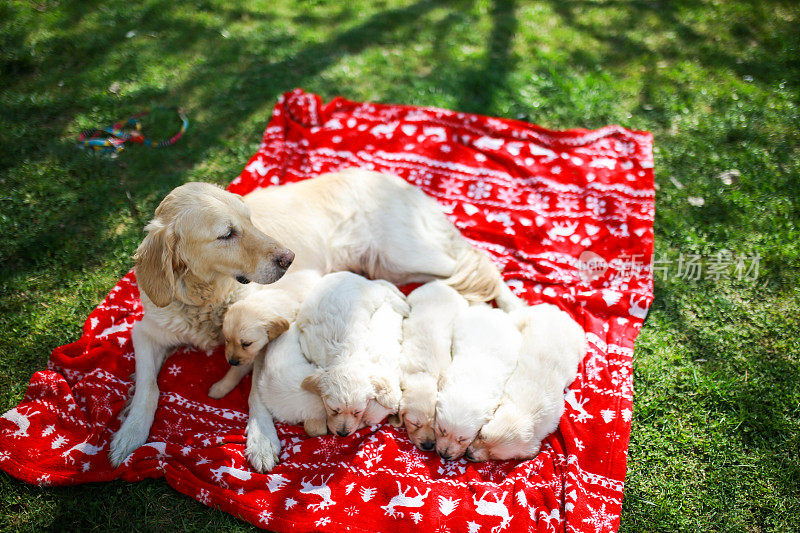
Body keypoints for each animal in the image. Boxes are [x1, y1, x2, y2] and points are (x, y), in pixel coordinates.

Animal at [296, 270, 410, 436]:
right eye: (333, 410)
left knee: (385, 290)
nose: (343, 434)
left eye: (357, 412)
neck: (345, 355)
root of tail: (352, 275)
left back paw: (402, 305)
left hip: (372, 296)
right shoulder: (309, 345)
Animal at [396, 280, 468, 450]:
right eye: (415, 424)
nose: (428, 446)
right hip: (414, 297)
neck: (424, 374)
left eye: (435, 426)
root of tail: (440, 284)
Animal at [462, 304, 588, 462]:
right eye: (481, 435)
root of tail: (560, 313)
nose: (468, 454)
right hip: (522, 317)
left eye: (494, 455)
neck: (527, 410)